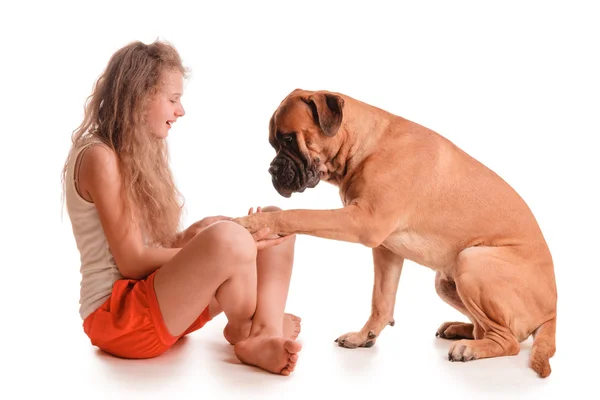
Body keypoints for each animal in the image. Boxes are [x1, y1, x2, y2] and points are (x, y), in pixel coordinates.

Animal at [233, 88, 556, 378]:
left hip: (470, 260)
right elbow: (381, 300)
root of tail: (553, 312)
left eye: (288, 139)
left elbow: (298, 214)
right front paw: (364, 336)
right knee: (493, 329)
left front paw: (255, 223)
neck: (363, 145)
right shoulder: (386, 249)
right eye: (273, 143)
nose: (273, 170)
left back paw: (471, 348)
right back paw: (461, 330)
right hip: (445, 280)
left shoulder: (362, 222)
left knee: (509, 341)